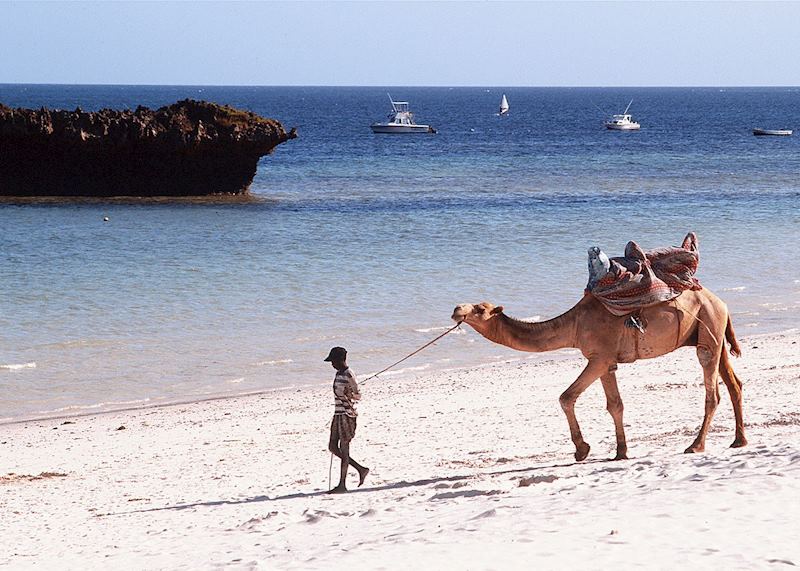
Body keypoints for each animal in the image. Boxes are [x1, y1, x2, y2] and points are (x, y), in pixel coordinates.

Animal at [451, 289, 746, 461]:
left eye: (479, 309)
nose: (456, 309)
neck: (574, 324)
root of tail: (721, 303)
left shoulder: (598, 358)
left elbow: (566, 397)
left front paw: (582, 449)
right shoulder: (607, 362)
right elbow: (615, 405)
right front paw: (620, 452)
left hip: (708, 331)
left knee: (712, 389)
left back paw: (696, 445)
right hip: (712, 333)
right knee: (735, 384)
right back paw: (738, 440)